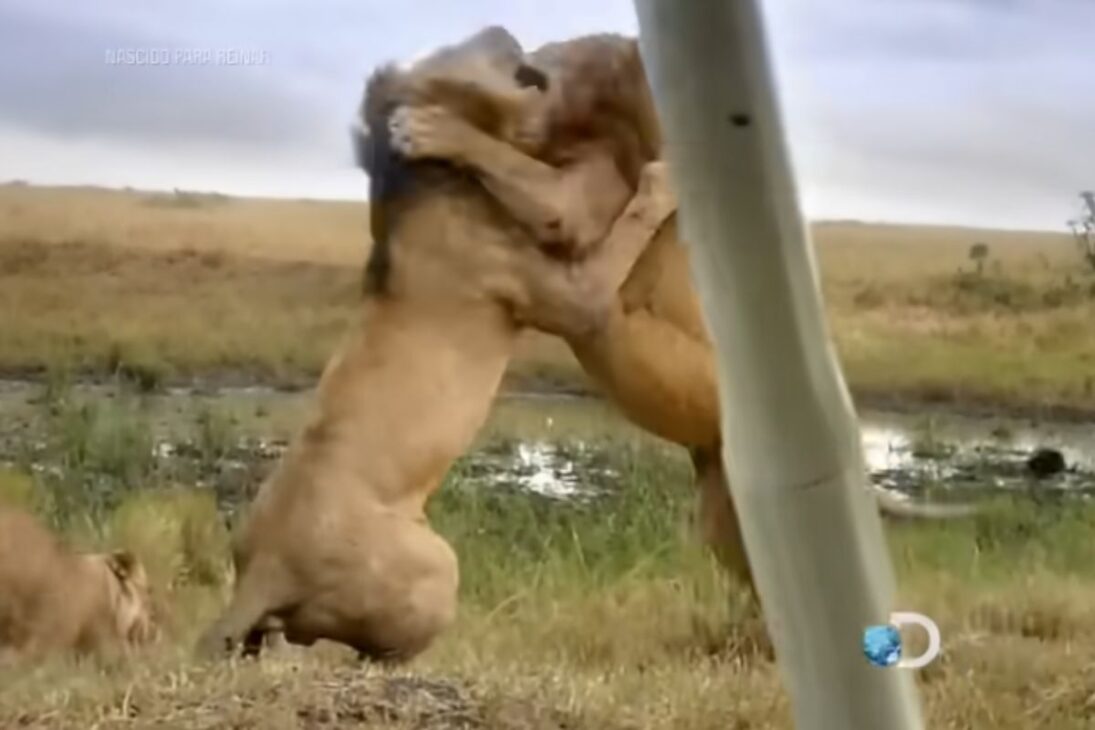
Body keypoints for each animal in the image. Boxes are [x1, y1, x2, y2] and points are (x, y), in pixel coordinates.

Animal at [195, 27, 676, 662]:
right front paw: (662, 182)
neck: (422, 179)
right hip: (437, 565)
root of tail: (261, 572)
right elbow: (627, 224)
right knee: (378, 651)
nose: (501, 29)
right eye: (458, 51)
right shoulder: (579, 297)